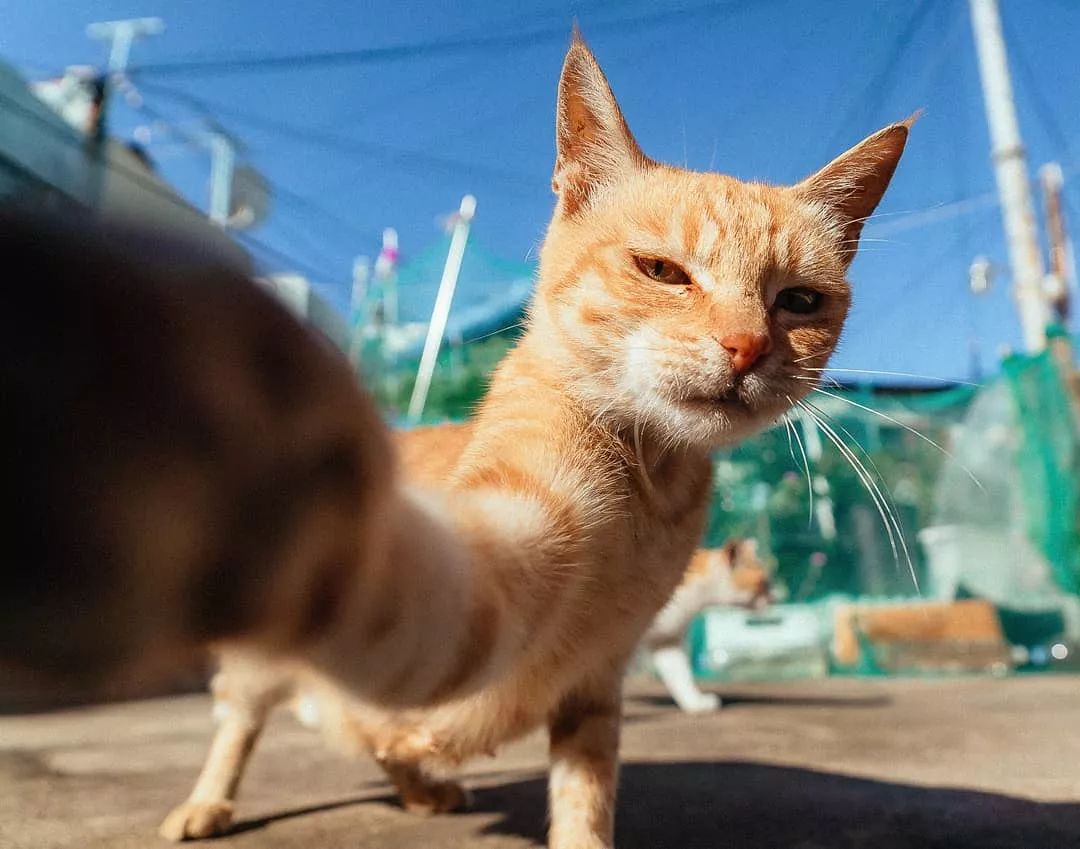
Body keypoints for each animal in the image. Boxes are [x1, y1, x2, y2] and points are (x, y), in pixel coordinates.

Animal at [157, 33, 911, 846]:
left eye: (799, 301)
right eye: (662, 270)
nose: (747, 347)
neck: (649, 484)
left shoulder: (596, 682)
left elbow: (586, 794)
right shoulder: (498, 558)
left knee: (374, 737)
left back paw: (422, 786)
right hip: (260, 671)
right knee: (241, 722)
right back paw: (208, 802)